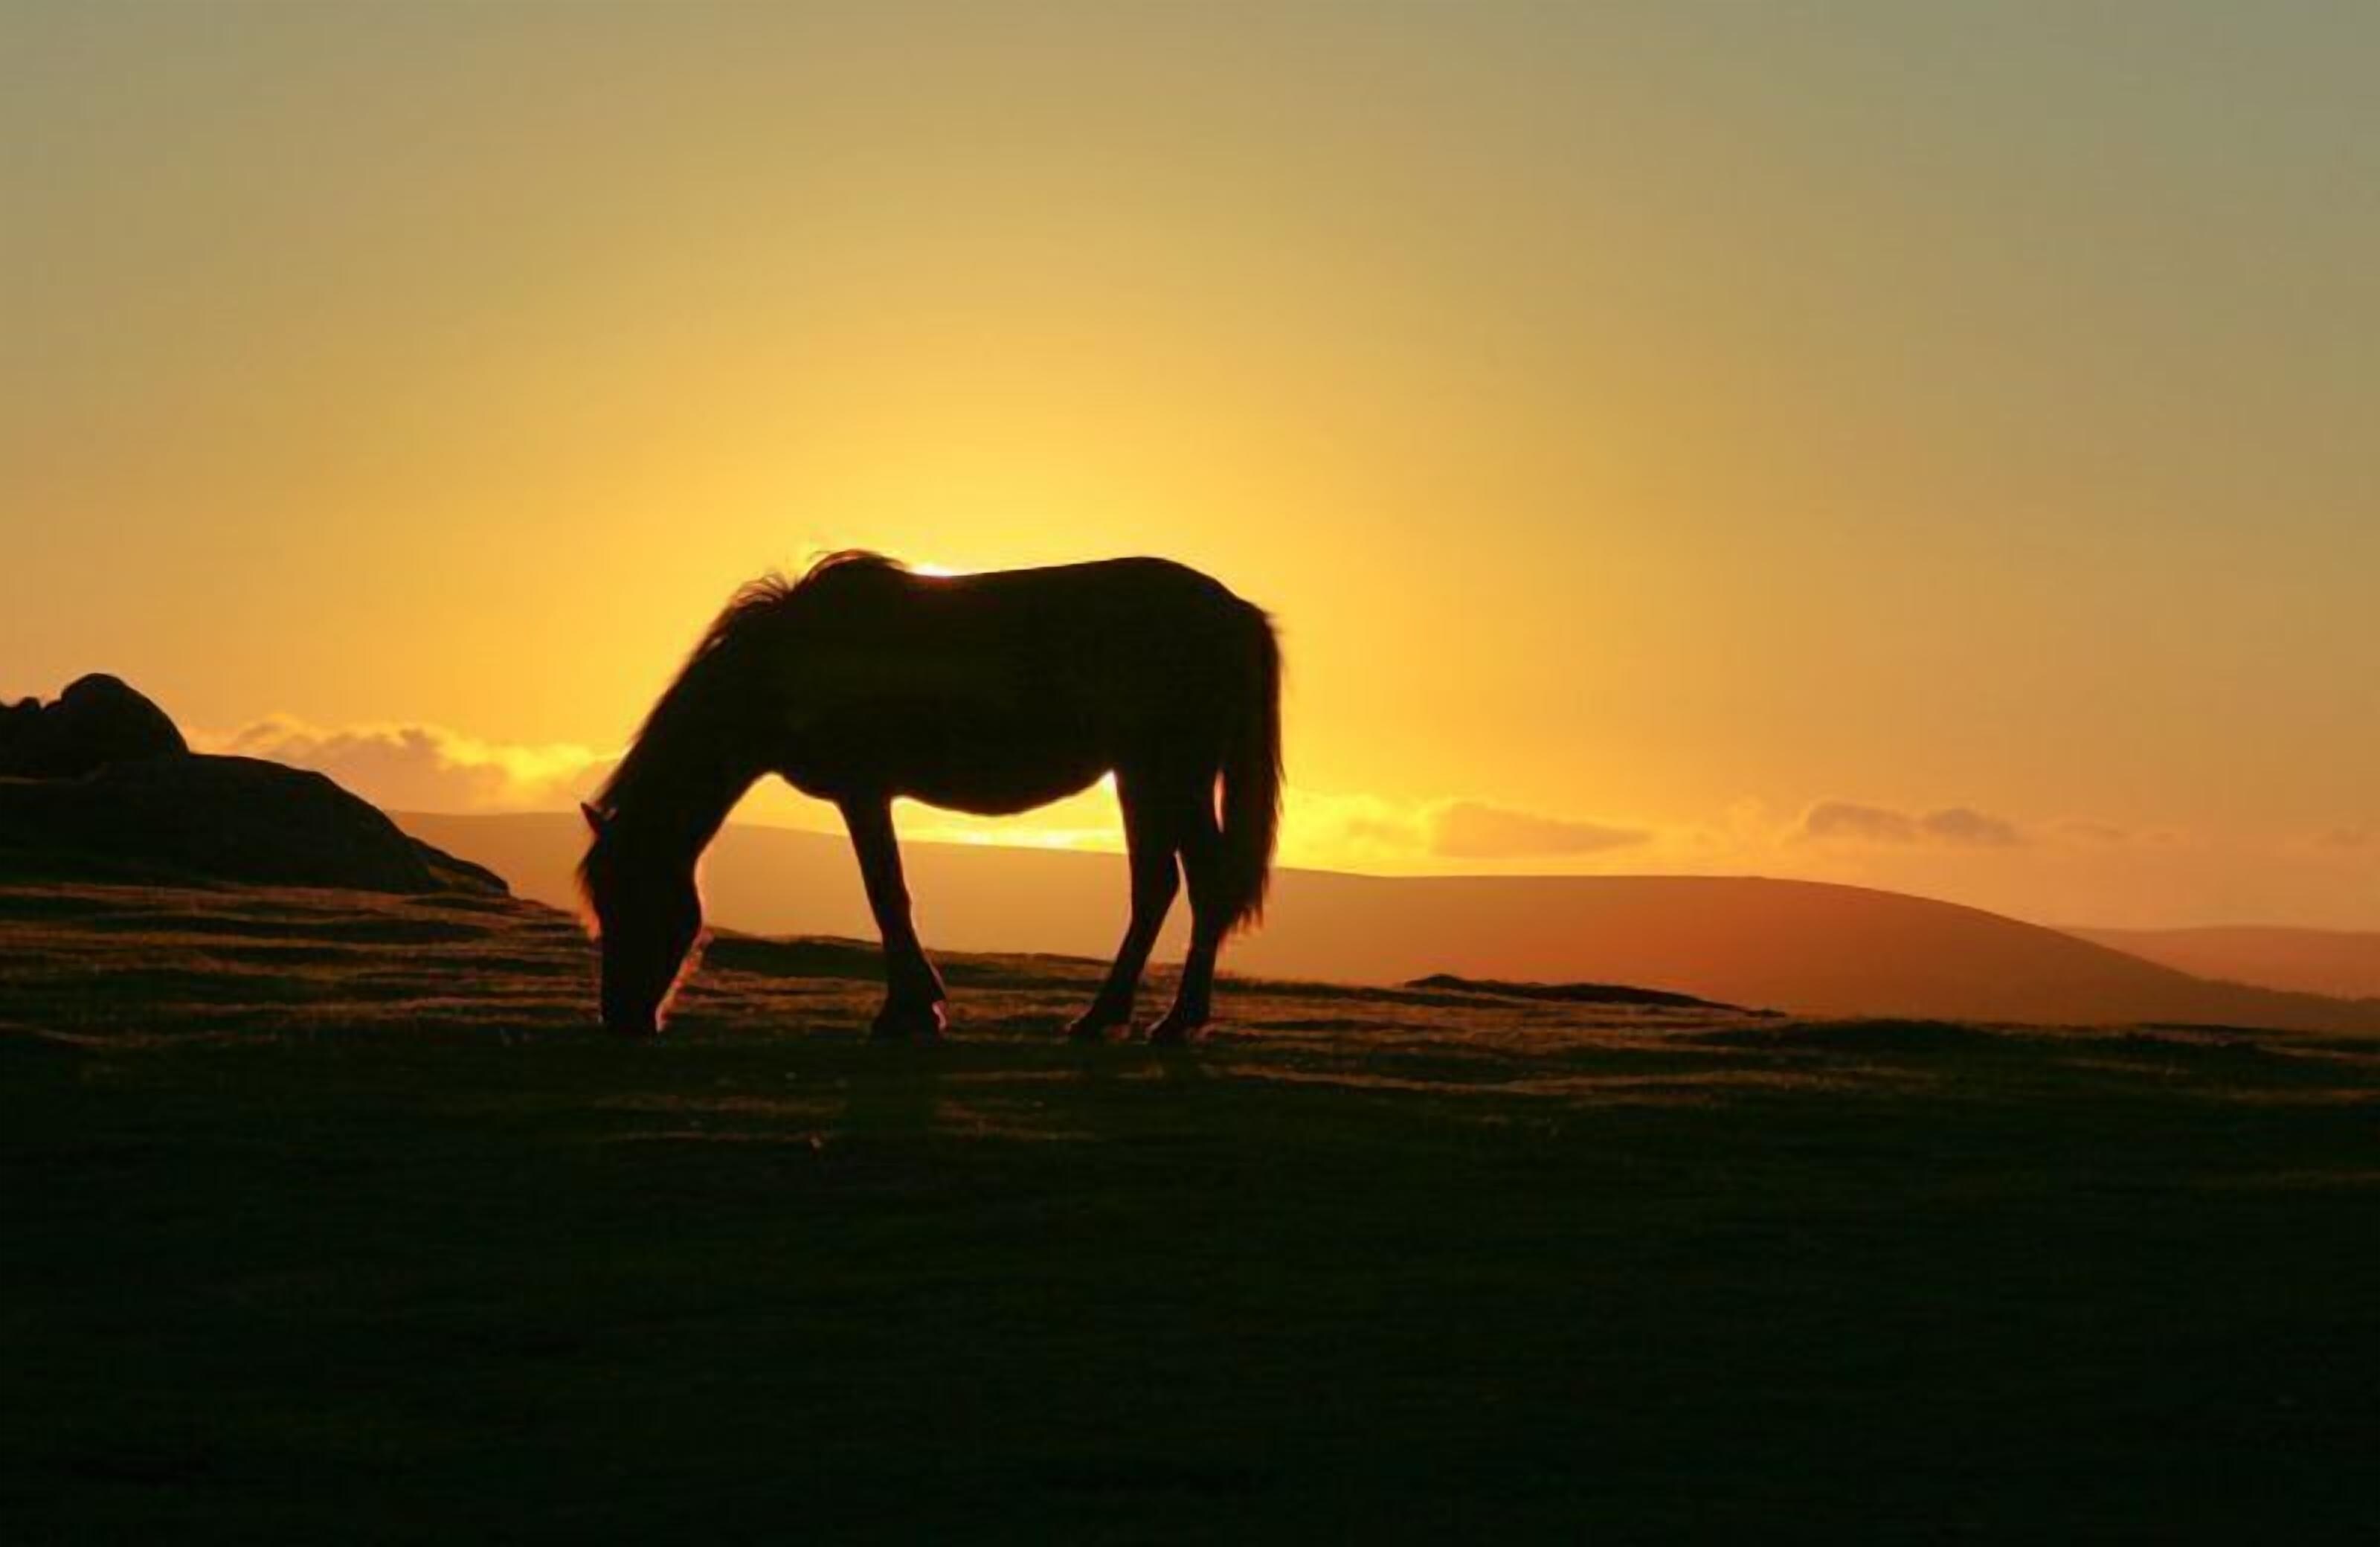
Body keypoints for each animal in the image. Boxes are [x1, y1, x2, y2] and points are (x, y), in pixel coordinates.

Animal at [575, 552, 1282, 1043]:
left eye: (631, 897)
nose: (622, 1020)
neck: (792, 663)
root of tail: (1234, 612)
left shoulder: (863, 792)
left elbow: (886, 893)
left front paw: (908, 1011)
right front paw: (917, 1007)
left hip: (1173, 774)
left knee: (1204, 883)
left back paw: (1175, 1022)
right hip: (1142, 777)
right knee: (1158, 886)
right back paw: (1105, 1017)